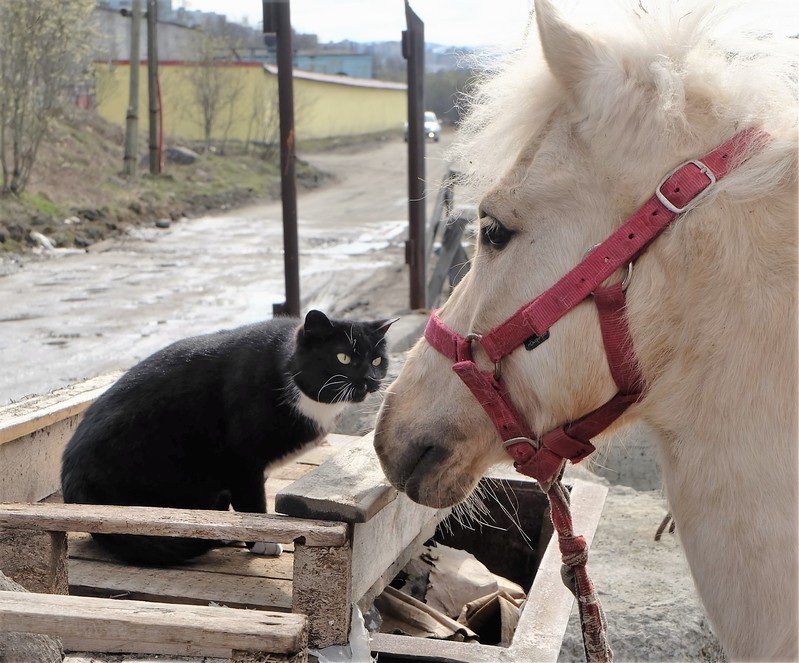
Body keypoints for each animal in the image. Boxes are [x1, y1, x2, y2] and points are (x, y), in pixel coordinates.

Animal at [61, 312, 396, 564]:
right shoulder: (242, 459)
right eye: (343, 358)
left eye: (377, 360)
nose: (370, 379)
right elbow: (252, 503)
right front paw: (260, 541)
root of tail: (72, 484)